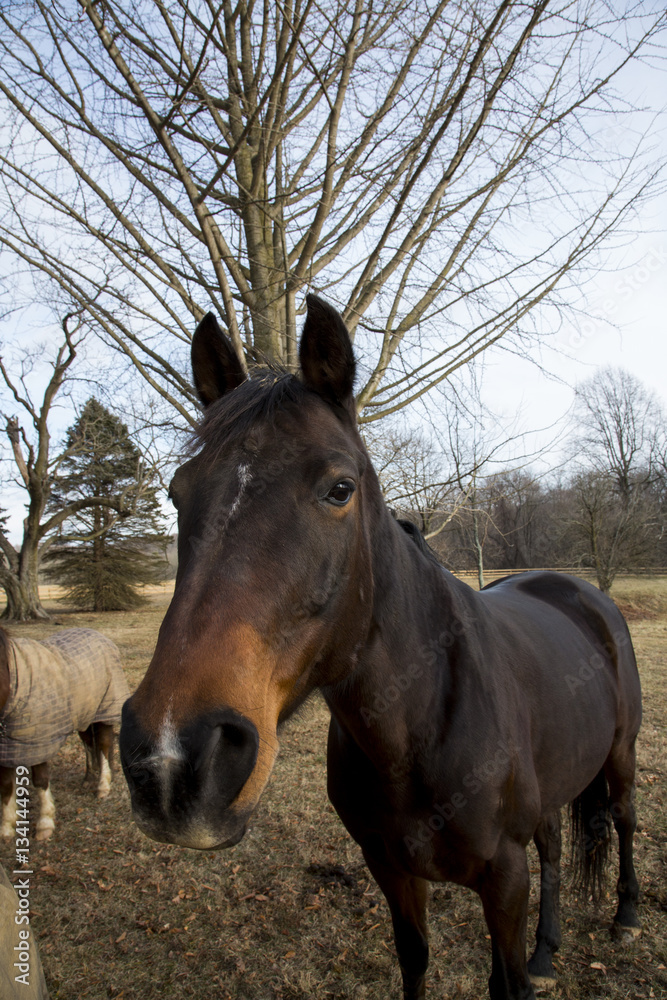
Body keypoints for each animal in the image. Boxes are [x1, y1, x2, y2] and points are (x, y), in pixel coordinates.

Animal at [0, 626, 129, 841]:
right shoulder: (8, 747)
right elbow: (6, 785)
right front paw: (6, 829)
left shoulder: (39, 740)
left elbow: (40, 780)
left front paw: (45, 824)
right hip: (84, 713)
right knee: (89, 743)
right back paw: (89, 777)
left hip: (103, 709)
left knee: (103, 744)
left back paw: (103, 785)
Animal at [119, 295, 642, 1000]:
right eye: (178, 493)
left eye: (340, 489)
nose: (172, 759)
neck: (421, 720)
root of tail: (581, 592)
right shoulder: (390, 869)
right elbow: (415, 959)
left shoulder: (504, 879)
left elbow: (504, 982)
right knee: (557, 846)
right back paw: (547, 950)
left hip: (620, 756)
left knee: (624, 820)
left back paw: (626, 917)